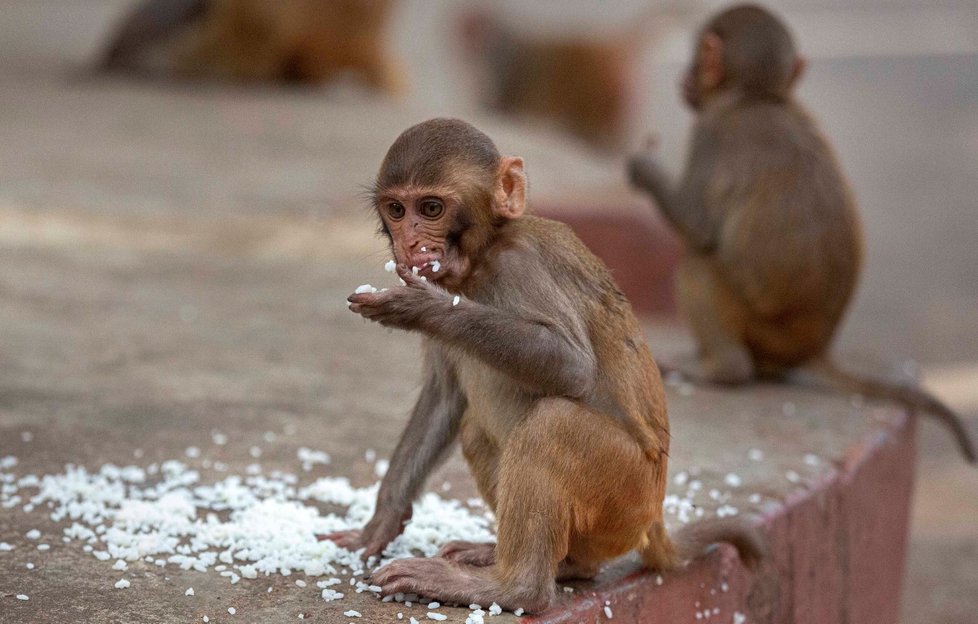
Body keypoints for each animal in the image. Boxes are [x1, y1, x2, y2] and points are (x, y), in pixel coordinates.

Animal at [324, 119, 760, 612]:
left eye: (431, 208)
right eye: (396, 210)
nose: (410, 242)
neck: (481, 259)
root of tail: (654, 521)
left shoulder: (519, 264)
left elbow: (572, 366)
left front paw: (420, 308)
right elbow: (443, 395)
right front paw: (382, 520)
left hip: (626, 494)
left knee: (553, 423)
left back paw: (511, 587)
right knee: (476, 431)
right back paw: (556, 563)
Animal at [628, 3, 972, 464]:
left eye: (699, 58)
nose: (685, 77)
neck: (756, 98)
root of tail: (814, 348)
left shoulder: (711, 132)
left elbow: (699, 229)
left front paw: (644, 169)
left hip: (765, 331)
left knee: (696, 263)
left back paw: (723, 369)